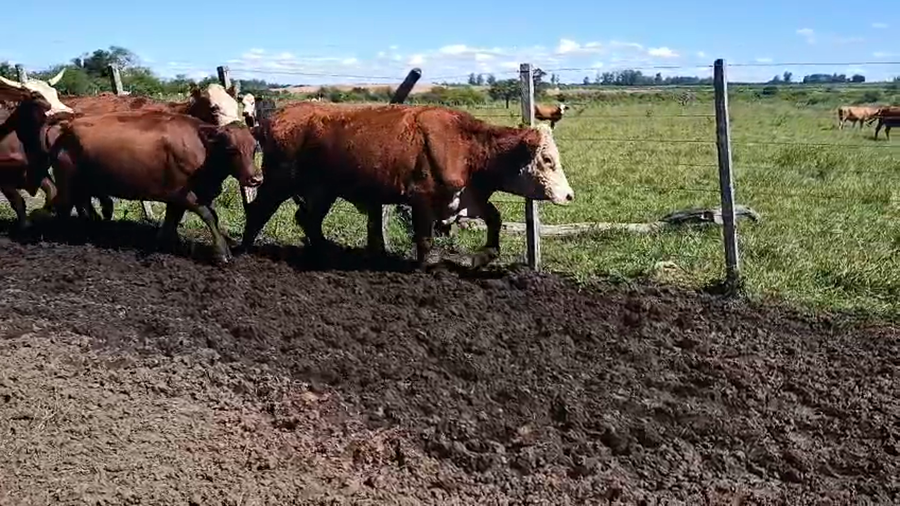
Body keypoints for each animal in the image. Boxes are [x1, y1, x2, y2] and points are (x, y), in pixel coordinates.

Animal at [18, 109, 263, 264]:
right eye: (232, 149)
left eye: (254, 148)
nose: (256, 179)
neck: (203, 148)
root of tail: (69, 124)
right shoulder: (184, 195)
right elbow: (209, 215)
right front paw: (221, 253)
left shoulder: (178, 198)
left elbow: (173, 220)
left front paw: (165, 244)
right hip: (69, 181)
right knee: (64, 207)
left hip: (84, 184)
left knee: (83, 207)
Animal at [239, 102, 574, 269]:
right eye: (547, 159)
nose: (569, 195)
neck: (465, 145)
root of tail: (273, 118)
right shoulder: (421, 199)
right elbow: (424, 238)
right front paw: (427, 265)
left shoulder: (466, 197)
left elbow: (494, 218)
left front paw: (484, 255)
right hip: (279, 181)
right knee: (258, 210)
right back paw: (243, 250)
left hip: (323, 190)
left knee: (308, 219)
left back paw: (327, 253)